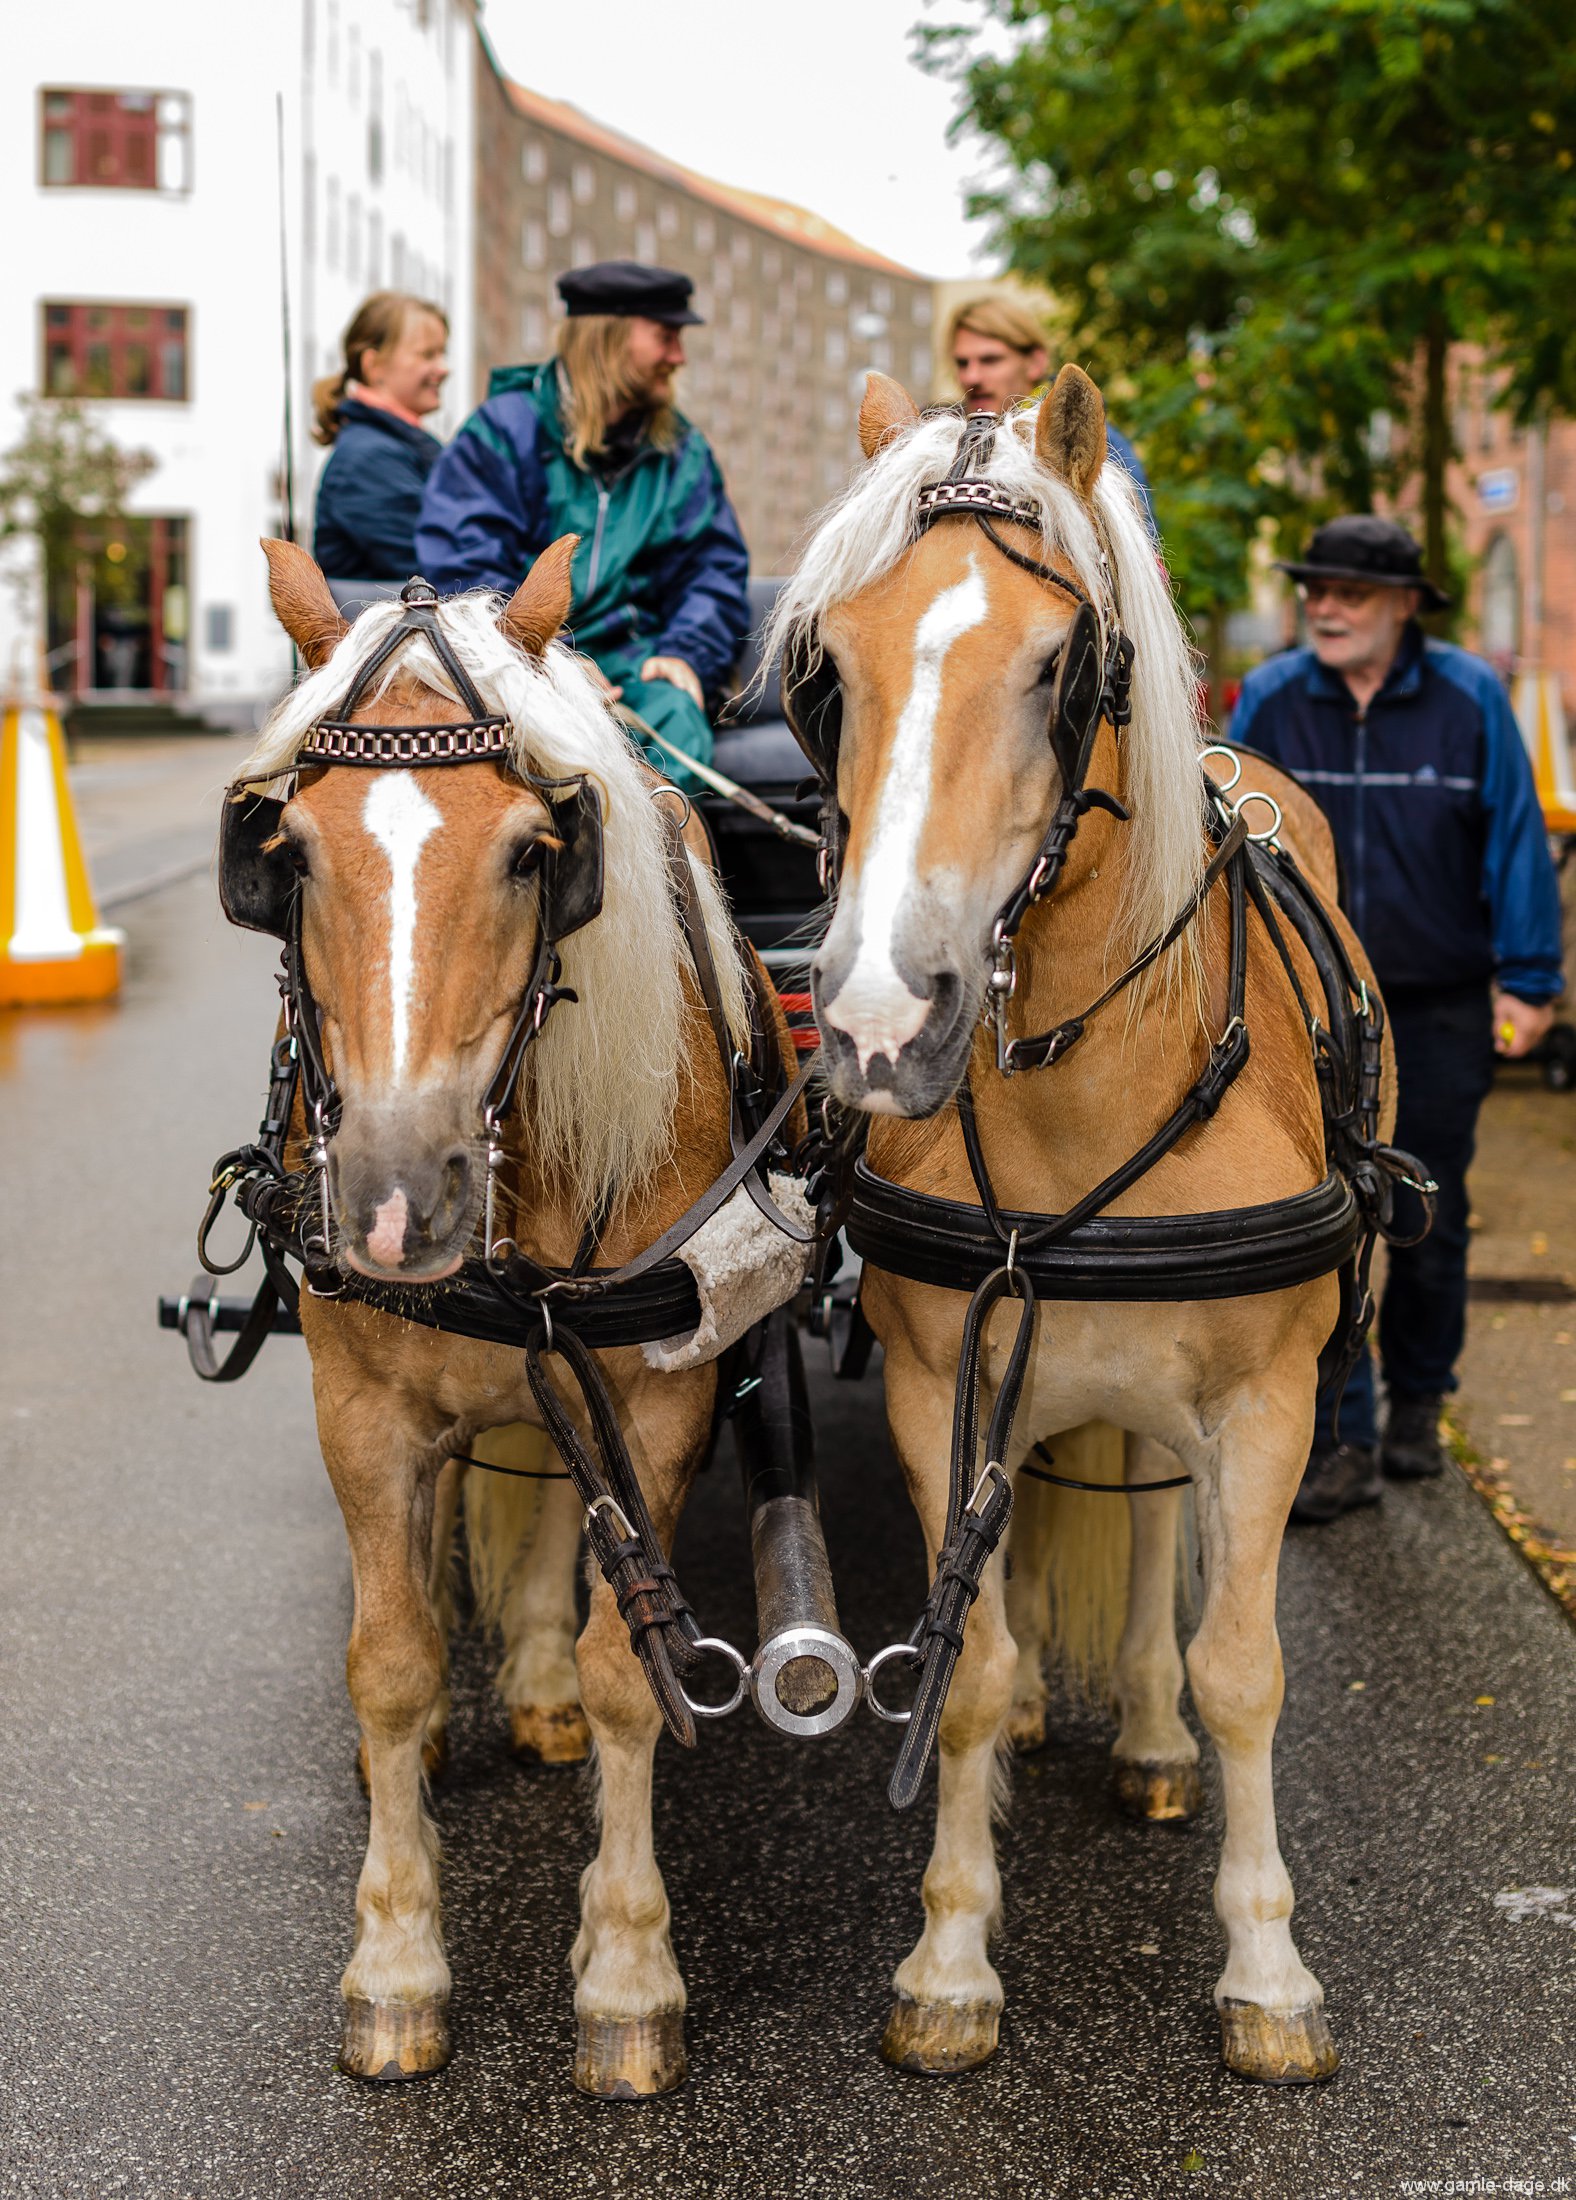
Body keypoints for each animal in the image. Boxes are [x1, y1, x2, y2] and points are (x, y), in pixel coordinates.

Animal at [226, 532, 783, 2094]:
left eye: (538, 854)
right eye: (285, 856)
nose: (397, 1199)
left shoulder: (656, 1395)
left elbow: (624, 1670)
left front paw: (629, 1972)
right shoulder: (362, 1406)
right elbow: (396, 1663)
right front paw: (396, 1965)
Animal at [770, 369, 1399, 2085]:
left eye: (1060, 665)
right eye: (829, 670)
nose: (877, 1017)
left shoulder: (1266, 1402)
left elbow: (1245, 1667)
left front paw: (1269, 1972)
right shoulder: (945, 1383)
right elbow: (971, 1673)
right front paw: (950, 1956)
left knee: (1164, 1536)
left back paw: (1151, 1734)